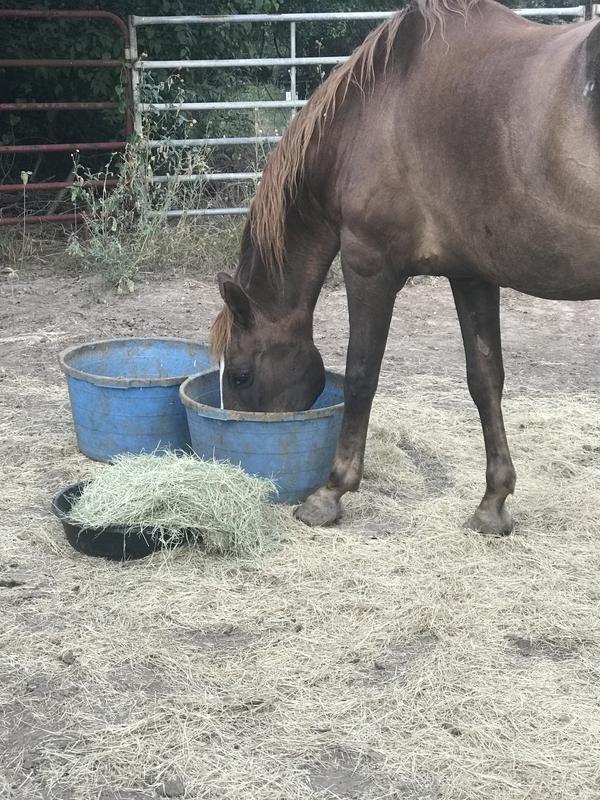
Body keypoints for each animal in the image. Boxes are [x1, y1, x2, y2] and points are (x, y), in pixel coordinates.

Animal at [211, 0, 600, 534]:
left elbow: (361, 374)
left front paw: (330, 493)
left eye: (242, 376)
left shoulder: (368, 267)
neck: (377, 107)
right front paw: (493, 504)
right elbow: (485, 379)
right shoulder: (471, 274)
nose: (241, 463)